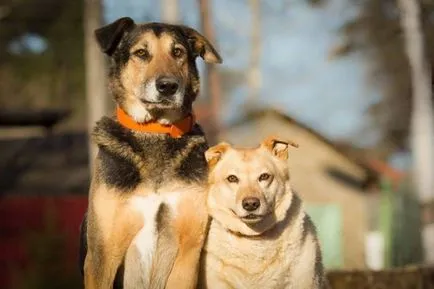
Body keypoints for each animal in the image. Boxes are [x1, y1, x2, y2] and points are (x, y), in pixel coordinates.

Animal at [78, 16, 222, 288]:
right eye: (141, 53)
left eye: (178, 52)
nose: (168, 86)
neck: (155, 130)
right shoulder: (102, 255)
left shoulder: (188, 253)